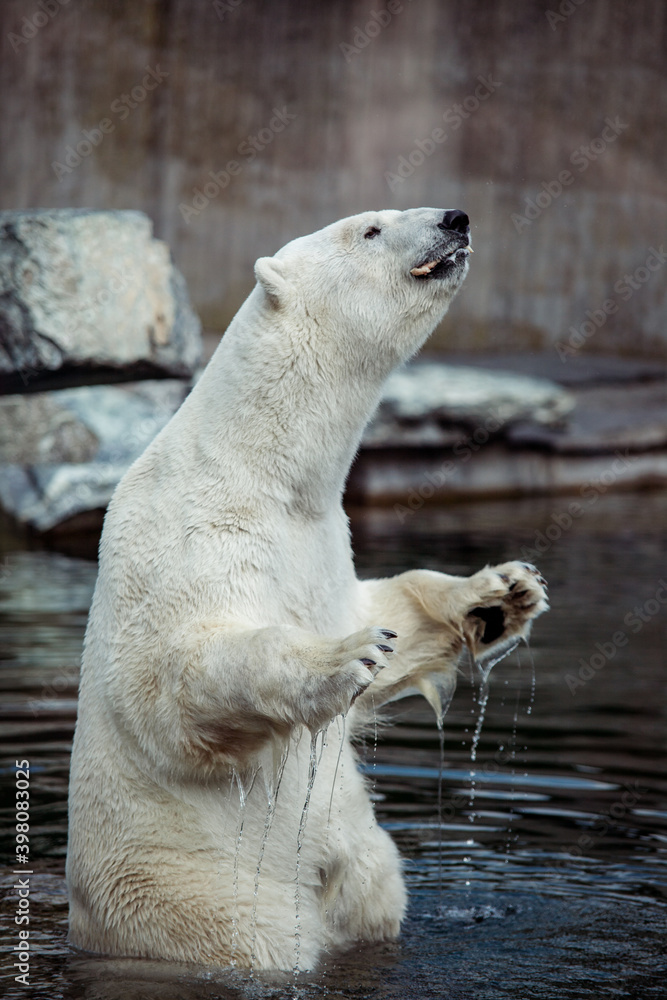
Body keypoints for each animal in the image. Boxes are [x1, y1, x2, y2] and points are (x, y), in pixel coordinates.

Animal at [66, 207, 548, 973]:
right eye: (372, 229)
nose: (455, 217)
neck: (261, 472)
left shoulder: (322, 540)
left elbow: (384, 605)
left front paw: (499, 596)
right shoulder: (191, 538)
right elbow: (175, 682)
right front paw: (342, 658)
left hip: (359, 868)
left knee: (373, 894)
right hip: (194, 891)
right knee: (250, 931)